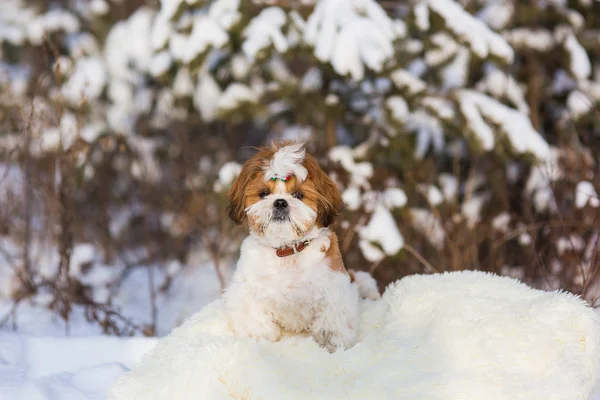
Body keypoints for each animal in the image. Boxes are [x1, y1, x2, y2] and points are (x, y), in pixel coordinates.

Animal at [223, 142, 378, 352]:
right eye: (263, 193)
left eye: (298, 195)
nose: (280, 202)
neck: (287, 251)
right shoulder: (246, 292)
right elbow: (255, 321)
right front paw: (262, 338)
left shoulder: (334, 292)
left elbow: (331, 327)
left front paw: (332, 345)